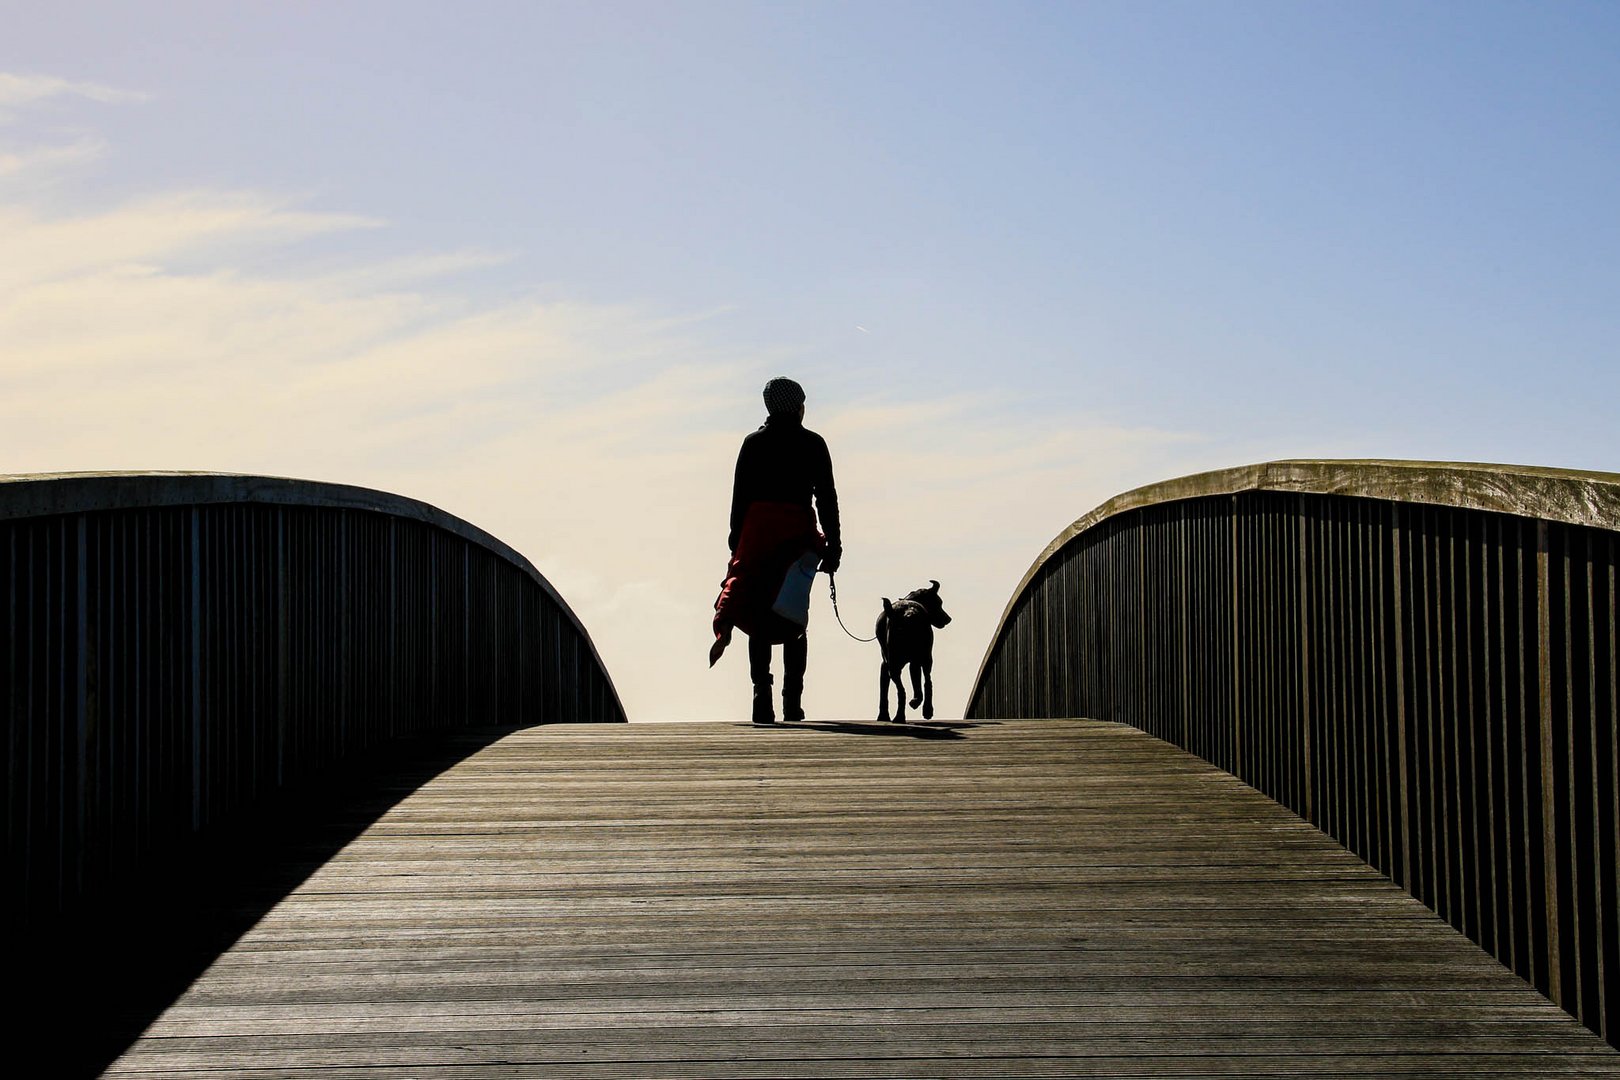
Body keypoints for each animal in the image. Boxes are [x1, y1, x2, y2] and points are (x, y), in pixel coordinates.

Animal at [881, 579, 952, 722]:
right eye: (939, 603)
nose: (948, 619)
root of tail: (908, 612)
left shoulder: (888, 664)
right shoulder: (916, 660)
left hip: (898, 662)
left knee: (903, 689)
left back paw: (901, 716)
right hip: (923, 657)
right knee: (926, 682)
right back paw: (924, 709)